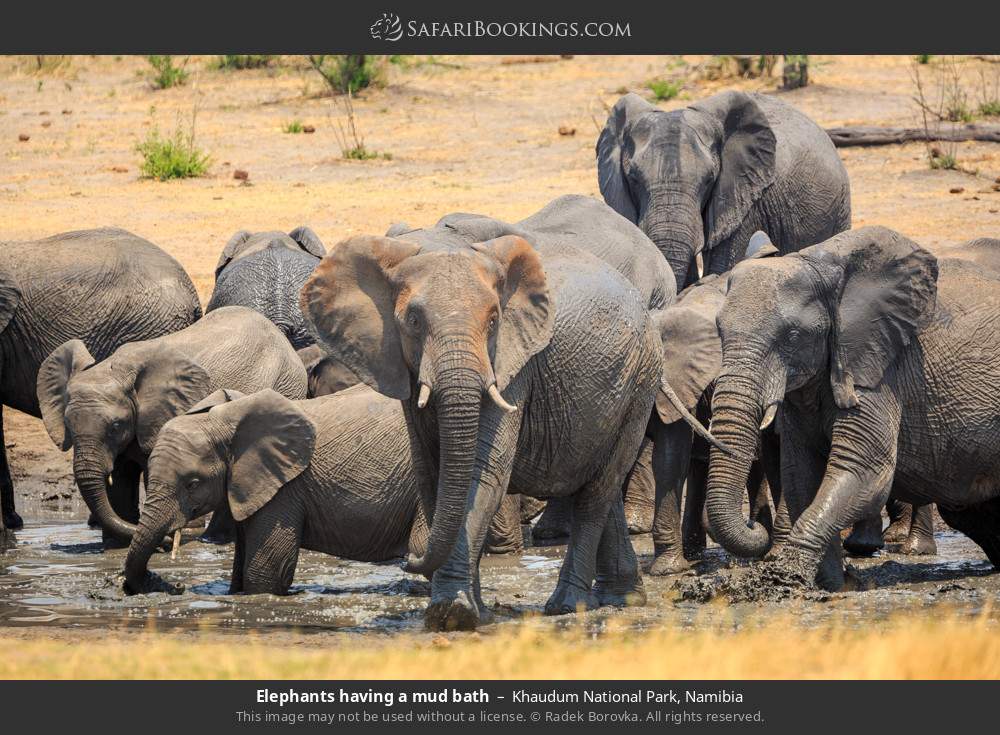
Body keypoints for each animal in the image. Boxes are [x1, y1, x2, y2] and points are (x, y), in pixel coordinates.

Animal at [37, 304, 306, 548]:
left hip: (287, 384)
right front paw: (115, 546)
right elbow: (121, 476)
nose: (167, 541)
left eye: (115, 426)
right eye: (68, 425)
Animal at [296, 197, 672, 632]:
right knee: (597, 481)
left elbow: (484, 469)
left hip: (641, 378)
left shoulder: (515, 361)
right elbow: (433, 471)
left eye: (494, 321)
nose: (408, 560)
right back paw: (623, 598)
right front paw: (470, 609)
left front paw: (452, 612)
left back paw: (567, 606)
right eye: (412, 321)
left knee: (598, 490)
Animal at [700, 226, 1000, 592]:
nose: (755, 526)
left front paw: (785, 580)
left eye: (792, 336)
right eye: (718, 331)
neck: (819, 266)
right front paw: (833, 586)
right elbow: (803, 475)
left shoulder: (878, 371)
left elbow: (864, 470)